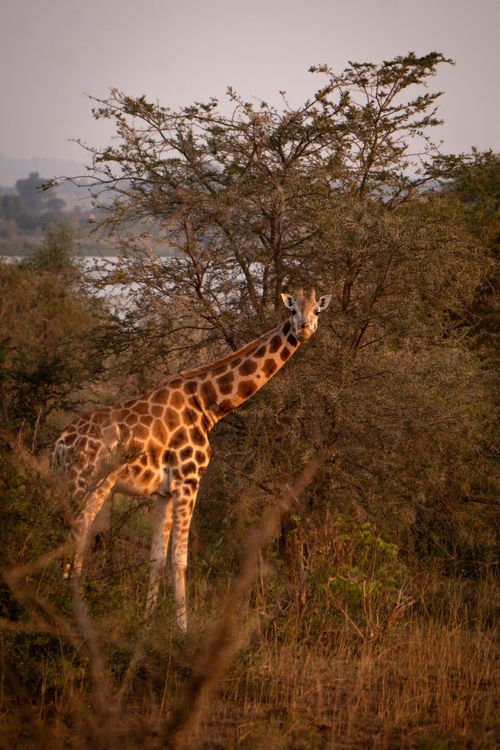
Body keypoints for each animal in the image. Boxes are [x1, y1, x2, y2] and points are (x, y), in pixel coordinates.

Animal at [52, 289, 331, 629]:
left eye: (317, 311)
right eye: (292, 310)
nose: (304, 329)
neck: (208, 404)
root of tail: (59, 445)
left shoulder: (163, 491)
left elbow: (157, 557)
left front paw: (147, 621)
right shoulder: (189, 481)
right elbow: (181, 559)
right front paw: (182, 629)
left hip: (70, 484)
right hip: (89, 483)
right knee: (75, 538)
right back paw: (72, 608)